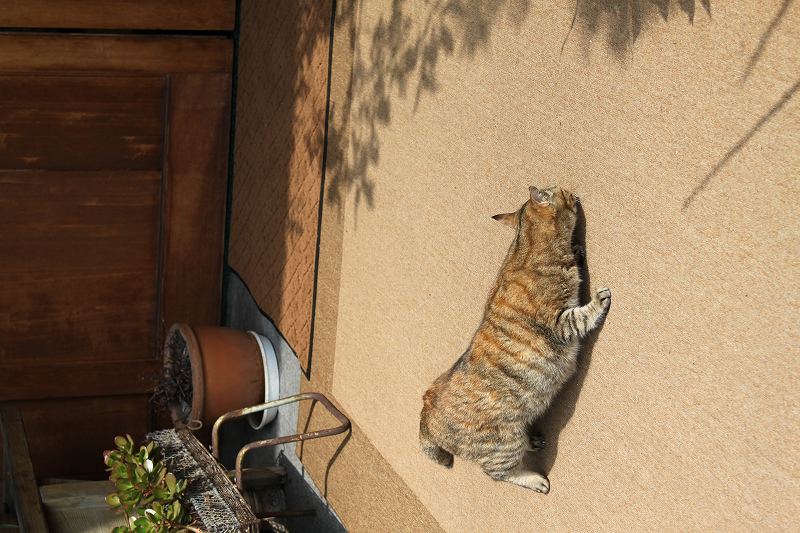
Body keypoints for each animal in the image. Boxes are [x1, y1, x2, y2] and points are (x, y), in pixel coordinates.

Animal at [418, 185, 612, 492]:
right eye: (560, 188)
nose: (572, 190)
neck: (524, 246)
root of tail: (424, 412)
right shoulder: (559, 322)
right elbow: (582, 316)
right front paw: (599, 299)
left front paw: (578, 251)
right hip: (503, 445)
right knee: (498, 473)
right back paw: (535, 480)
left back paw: (533, 440)